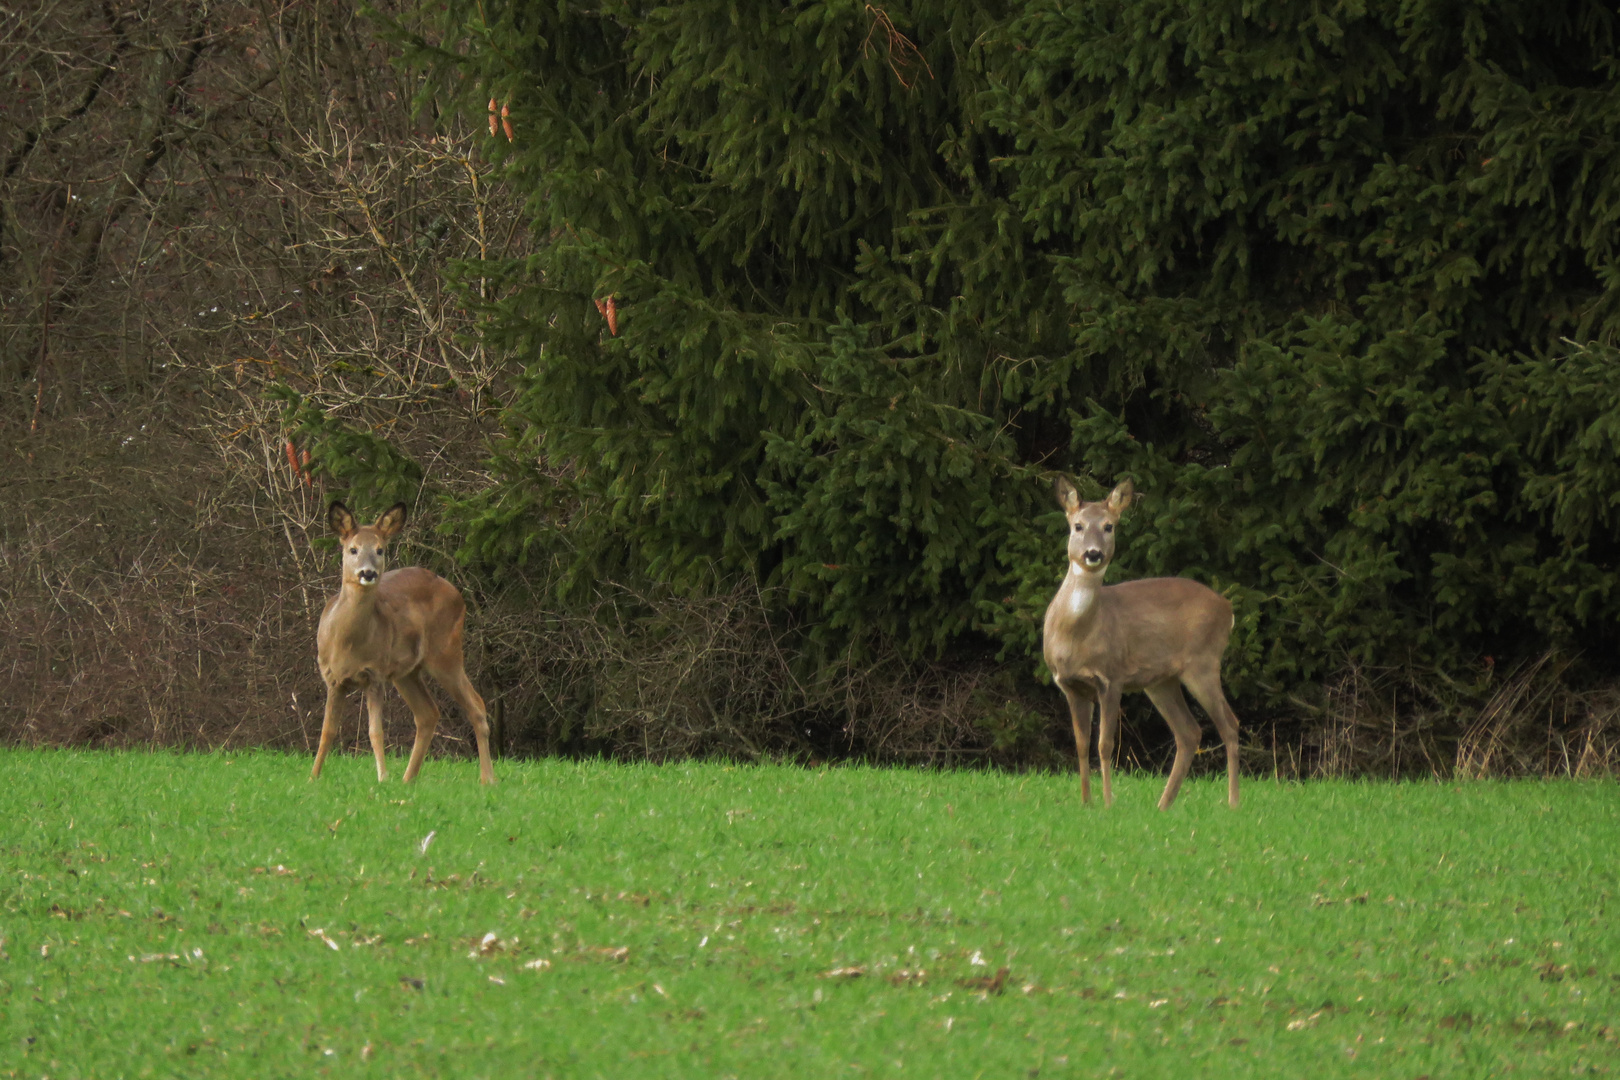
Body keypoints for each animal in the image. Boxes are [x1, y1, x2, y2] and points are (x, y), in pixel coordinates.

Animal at [311, 498, 492, 786]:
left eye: (380, 550)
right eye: (352, 549)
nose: (368, 573)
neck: (346, 643)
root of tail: (457, 593)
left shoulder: (374, 673)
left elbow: (375, 731)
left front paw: (382, 777)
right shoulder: (332, 678)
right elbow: (327, 731)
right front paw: (313, 777)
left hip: (446, 653)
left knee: (476, 705)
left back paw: (487, 779)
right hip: (407, 672)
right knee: (428, 713)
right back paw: (408, 779)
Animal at [1036, 476, 1237, 806]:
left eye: (1109, 526)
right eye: (1077, 525)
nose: (1093, 554)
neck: (1075, 636)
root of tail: (1228, 608)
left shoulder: (1111, 677)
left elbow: (1104, 744)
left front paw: (1107, 804)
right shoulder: (1069, 684)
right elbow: (1080, 745)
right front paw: (1086, 802)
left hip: (1203, 663)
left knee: (1229, 725)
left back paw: (1233, 804)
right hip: (1161, 681)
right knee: (1189, 732)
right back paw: (1163, 805)